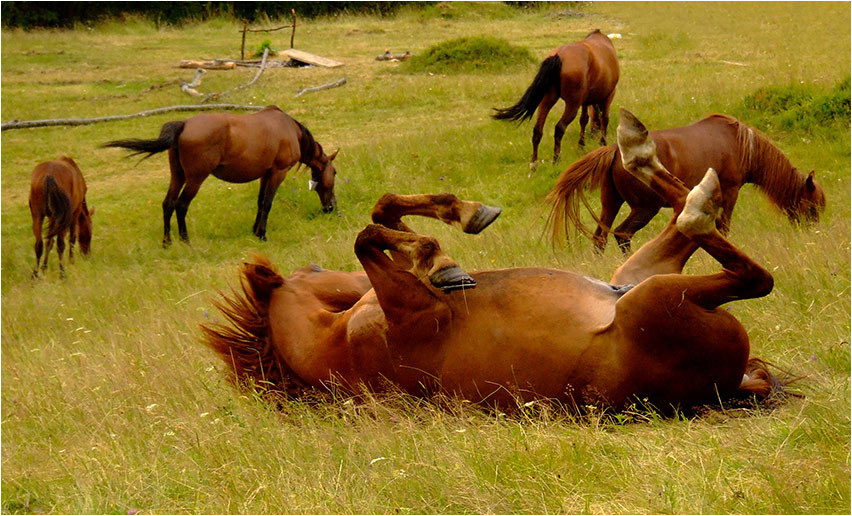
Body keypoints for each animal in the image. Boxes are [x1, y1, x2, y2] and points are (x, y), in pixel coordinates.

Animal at [103, 105, 339, 245]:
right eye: (335, 173)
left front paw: (255, 231)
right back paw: (185, 239)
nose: (331, 208)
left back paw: (167, 241)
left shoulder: (265, 174)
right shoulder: (278, 172)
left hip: (178, 175)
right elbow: (267, 203)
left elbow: (260, 202)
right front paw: (262, 234)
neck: (292, 131)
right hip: (195, 178)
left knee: (168, 203)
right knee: (181, 205)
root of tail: (184, 124)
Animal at [201, 109, 788, 412]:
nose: (316, 270)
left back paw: (641, 150)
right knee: (750, 273)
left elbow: (381, 213)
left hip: (633, 275)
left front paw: (460, 219)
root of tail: (729, 384)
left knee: (680, 220)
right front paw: (439, 257)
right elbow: (368, 238)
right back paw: (680, 187)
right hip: (655, 298)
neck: (332, 347)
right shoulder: (420, 311)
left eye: (312, 272)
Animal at [492, 29, 620, 169]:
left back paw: (534, 164)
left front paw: (581, 145)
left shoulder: (585, 101)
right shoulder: (609, 95)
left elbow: (584, 119)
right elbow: (604, 118)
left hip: (547, 100)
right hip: (572, 104)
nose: (593, 134)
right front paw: (603, 143)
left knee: (537, 130)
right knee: (559, 128)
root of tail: (558, 56)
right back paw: (556, 159)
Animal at [546, 113, 826, 253]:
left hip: (611, 203)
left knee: (600, 238)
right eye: (812, 207)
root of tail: (614, 151)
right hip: (644, 208)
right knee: (622, 235)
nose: (812, 236)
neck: (743, 145)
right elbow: (724, 227)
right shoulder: (730, 192)